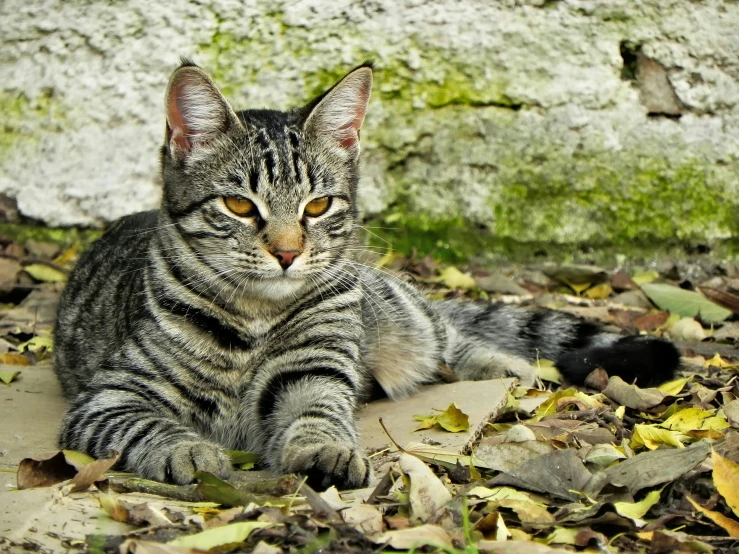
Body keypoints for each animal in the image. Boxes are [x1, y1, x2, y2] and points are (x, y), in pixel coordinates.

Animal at [55, 61, 684, 488]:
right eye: (238, 206)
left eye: (317, 206)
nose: (287, 253)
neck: (253, 318)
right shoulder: (111, 395)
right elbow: (147, 425)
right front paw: (185, 450)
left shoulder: (314, 371)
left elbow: (317, 412)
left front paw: (323, 450)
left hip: (397, 314)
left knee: (449, 333)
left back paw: (506, 364)